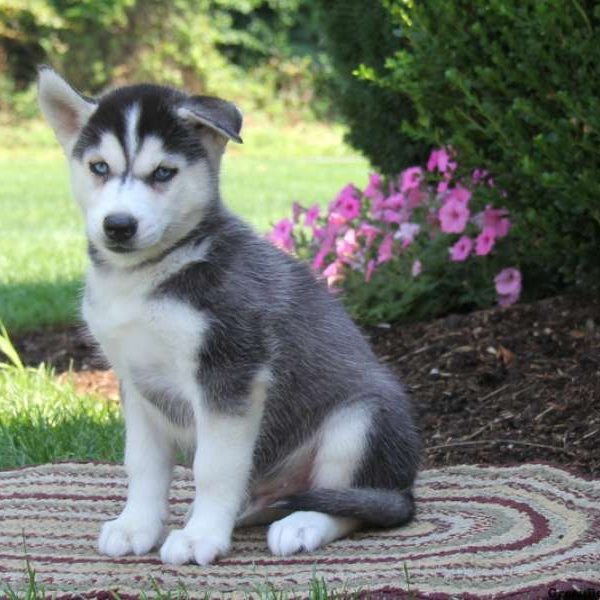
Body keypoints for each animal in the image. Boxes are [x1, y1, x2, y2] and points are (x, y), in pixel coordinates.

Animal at [38, 68, 422, 564]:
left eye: (163, 172)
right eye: (99, 167)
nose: (119, 226)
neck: (147, 279)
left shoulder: (230, 373)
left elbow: (213, 467)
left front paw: (200, 536)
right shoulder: (136, 382)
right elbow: (143, 464)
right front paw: (137, 525)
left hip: (360, 419)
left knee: (355, 503)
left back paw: (301, 523)